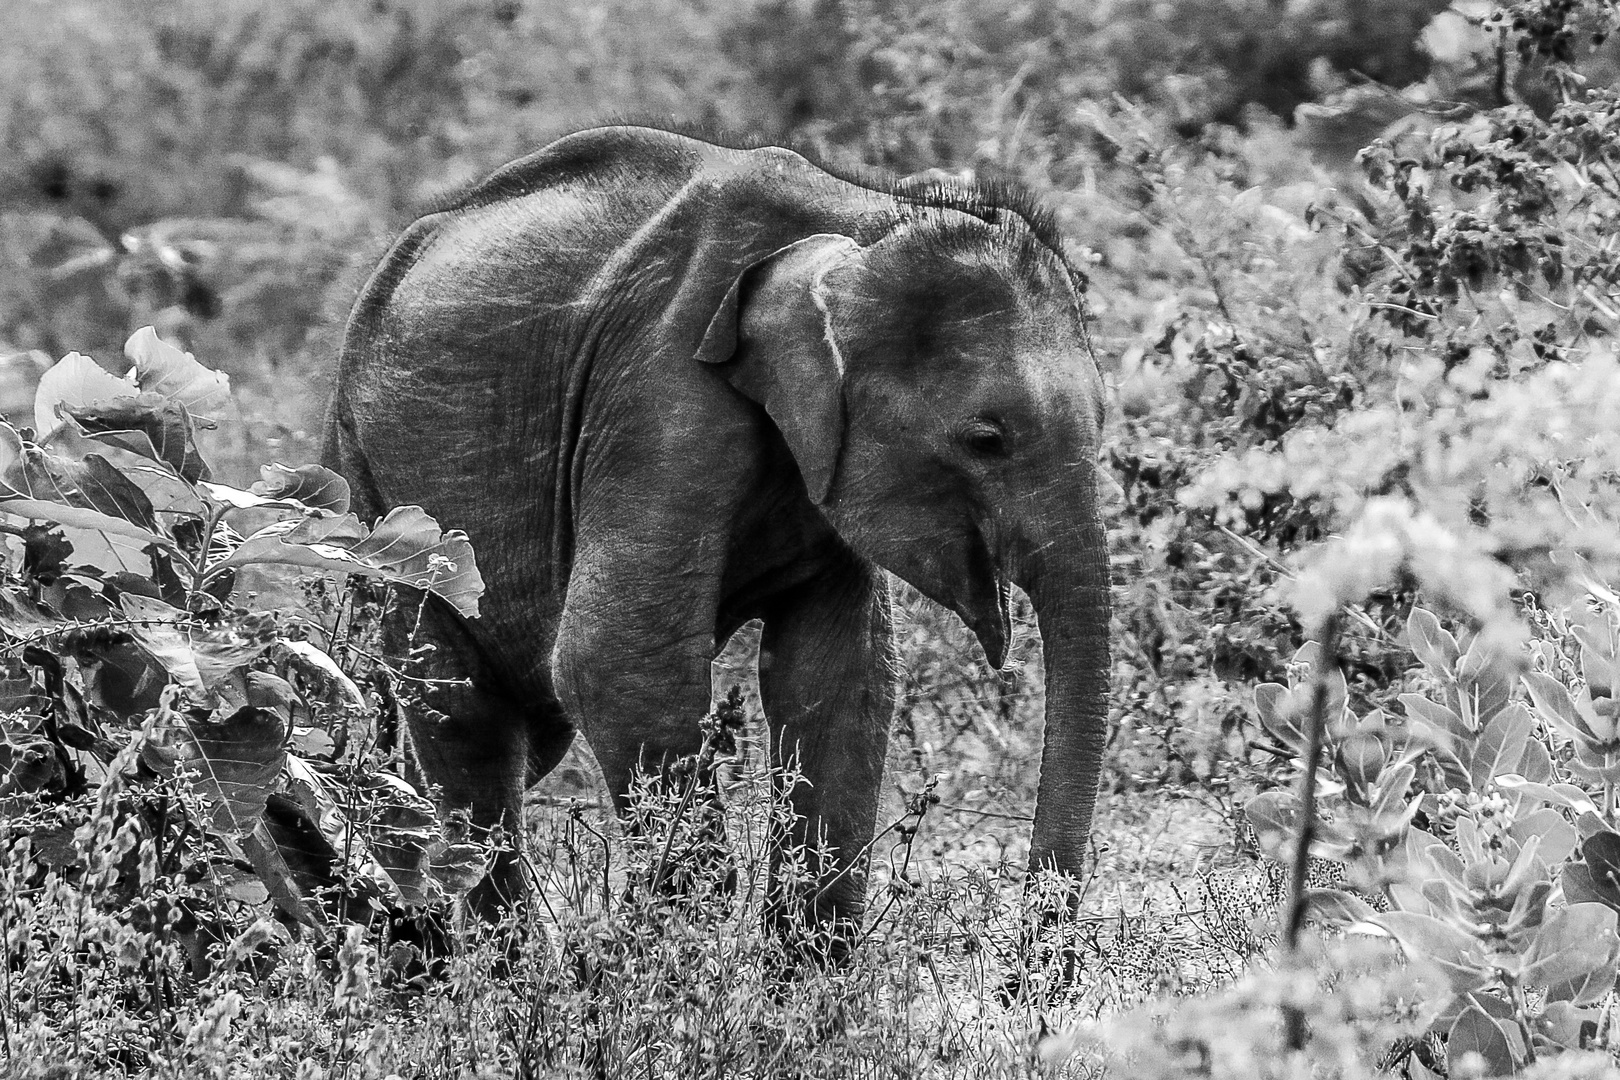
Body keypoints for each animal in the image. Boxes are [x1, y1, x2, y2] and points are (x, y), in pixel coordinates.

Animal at [325, 124, 1114, 939]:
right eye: (986, 438)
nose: (1036, 952)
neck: (864, 215)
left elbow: (840, 673)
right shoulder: (662, 394)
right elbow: (616, 661)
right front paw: (680, 954)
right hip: (376, 493)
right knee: (462, 714)